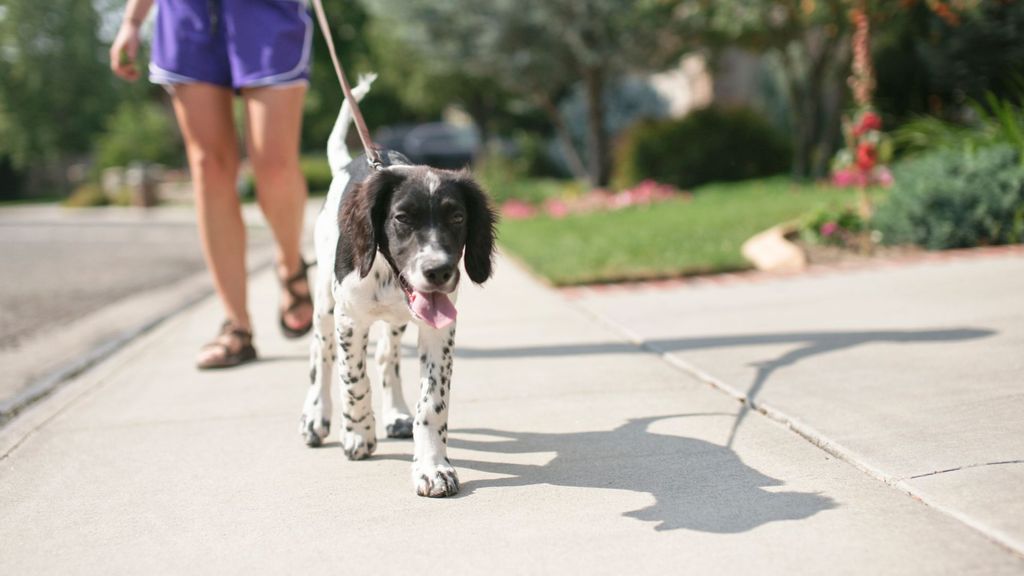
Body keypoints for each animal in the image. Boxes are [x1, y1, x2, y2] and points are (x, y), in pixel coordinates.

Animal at [299, 75, 497, 498]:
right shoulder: (349, 319)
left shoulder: (439, 328)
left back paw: (396, 414)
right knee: (321, 355)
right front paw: (357, 434)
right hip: (325, 304)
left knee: (386, 358)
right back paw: (316, 416)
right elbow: (353, 380)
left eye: (457, 217)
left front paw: (433, 466)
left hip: (396, 321)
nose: (439, 271)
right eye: (402, 218)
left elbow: (433, 403)